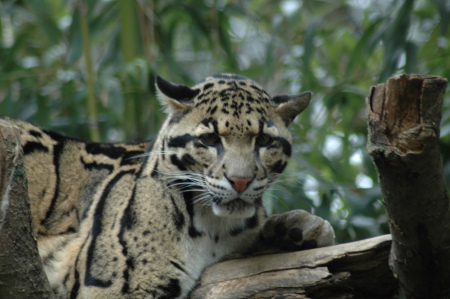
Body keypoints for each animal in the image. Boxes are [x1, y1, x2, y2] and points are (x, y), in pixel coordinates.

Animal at [0, 74, 334, 298]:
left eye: (264, 140)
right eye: (210, 139)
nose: (240, 180)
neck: (213, 228)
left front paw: (300, 229)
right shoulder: (116, 287)